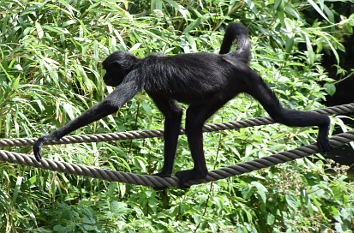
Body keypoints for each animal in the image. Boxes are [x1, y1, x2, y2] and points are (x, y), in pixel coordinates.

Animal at [33, 23, 332, 187]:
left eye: (108, 70)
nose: (105, 77)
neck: (141, 60)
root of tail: (231, 60)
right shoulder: (152, 86)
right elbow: (173, 114)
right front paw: (164, 173)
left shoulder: (140, 75)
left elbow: (111, 105)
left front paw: (49, 137)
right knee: (194, 119)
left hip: (239, 83)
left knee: (274, 114)